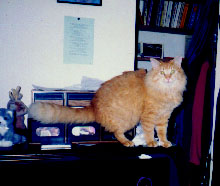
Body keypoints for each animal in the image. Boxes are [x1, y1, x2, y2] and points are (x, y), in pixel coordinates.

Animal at [28, 57, 187, 147]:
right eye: (162, 72)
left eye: (172, 72)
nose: (168, 78)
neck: (166, 91)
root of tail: (93, 106)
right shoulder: (148, 116)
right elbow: (149, 132)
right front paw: (151, 143)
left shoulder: (164, 117)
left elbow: (162, 132)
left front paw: (165, 142)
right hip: (128, 120)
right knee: (117, 133)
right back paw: (128, 142)